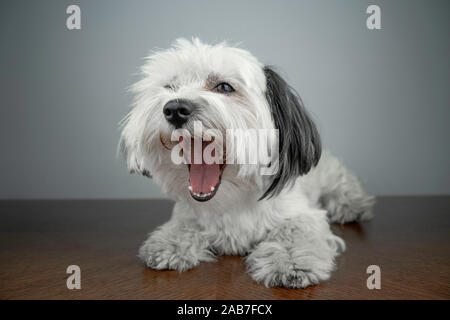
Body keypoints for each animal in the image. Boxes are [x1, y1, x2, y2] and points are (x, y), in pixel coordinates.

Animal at [118, 38, 372, 288]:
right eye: (170, 87)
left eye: (224, 87)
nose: (175, 109)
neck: (231, 201)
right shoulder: (188, 214)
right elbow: (185, 224)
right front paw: (170, 242)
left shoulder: (302, 214)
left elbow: (295, 231)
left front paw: (290, 261)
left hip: (333, 178)